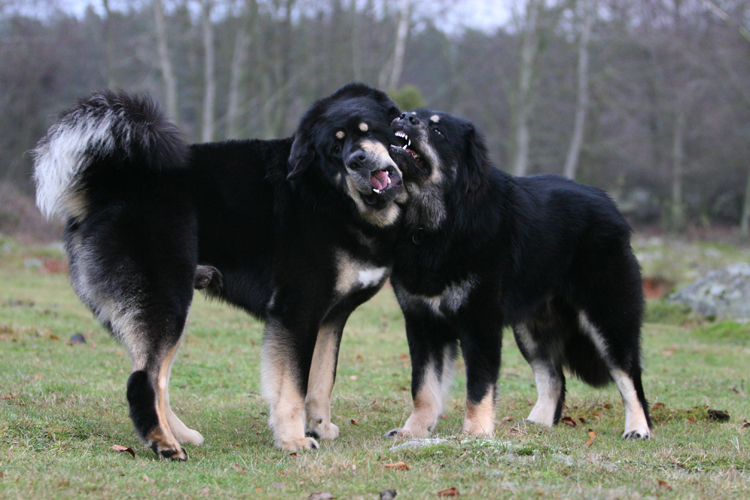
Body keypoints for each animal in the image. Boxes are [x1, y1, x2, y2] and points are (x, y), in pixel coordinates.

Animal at [30, 83, 406, 460]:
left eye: (370, 130)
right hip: (166, 302)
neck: (328, 193)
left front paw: (320, 427)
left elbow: (322, 379)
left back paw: (180, 434)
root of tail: (107, 184)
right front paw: (294, 440)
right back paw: (165, 444)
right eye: (335, 147)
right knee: (144, 380)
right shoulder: (297, 311)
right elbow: (293, 385)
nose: (357, 159)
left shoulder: (331, 318)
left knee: (154, 379)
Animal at [388, 110, 652, 442]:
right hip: (532, 328)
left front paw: (476, 432)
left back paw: (638, 428)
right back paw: (537, 423)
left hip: (608, 317)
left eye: (437, 130)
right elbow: (423, 387)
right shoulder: (423, 324)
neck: (436, 225)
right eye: (413, 115)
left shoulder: (480, 323)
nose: (404, 116)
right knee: (554, 377)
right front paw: (414, 430)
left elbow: (478, 386)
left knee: (629, 376)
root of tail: (611, 205)